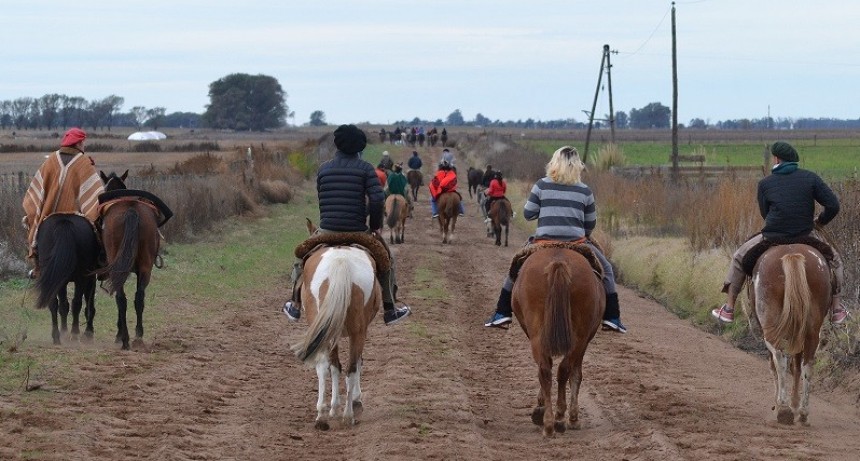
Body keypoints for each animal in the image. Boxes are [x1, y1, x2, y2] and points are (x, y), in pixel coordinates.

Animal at [34, 214, 99, 345]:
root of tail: (64, 222)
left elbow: (63, 305)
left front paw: (64, 332)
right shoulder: (89, 278)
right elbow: (87, 305)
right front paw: (88, 333)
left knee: (54, 303)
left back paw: (57, 336)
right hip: (80, 277)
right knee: (76, 303)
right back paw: (74, 333)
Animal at [97, 170, 162, 350]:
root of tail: (131, 210)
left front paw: (118, 334)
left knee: (121, 299)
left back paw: (125, 339)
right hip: (145, 267)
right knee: (139, 298)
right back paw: (138, 337)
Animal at [291, 220, 381, 430]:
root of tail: (341, 262)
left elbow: (334, 366)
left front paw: (334, 407)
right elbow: (349, 364)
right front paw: (349, 403)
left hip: (325, 327)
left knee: (324, 364)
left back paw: (322, 416)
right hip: (356, 331)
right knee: (351, 366)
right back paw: (347, 414)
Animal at [512, 248, 605, 437]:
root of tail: (558, 261)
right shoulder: (584, 341)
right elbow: (576, 375)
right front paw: (573, 418)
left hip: (540, 334)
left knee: (546, 370)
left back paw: (550, 421)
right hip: (578, 338)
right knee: (562, 370)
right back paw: (558, 419)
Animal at [749, 244, 830, 425]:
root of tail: (791, 254)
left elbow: (775, 366)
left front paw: (780, 403)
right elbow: (797, 368)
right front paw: (794, 404)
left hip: (770, 327)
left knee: (780, 360)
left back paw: (783, 409)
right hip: (811, 331)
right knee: (807, 365)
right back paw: (803, 412)